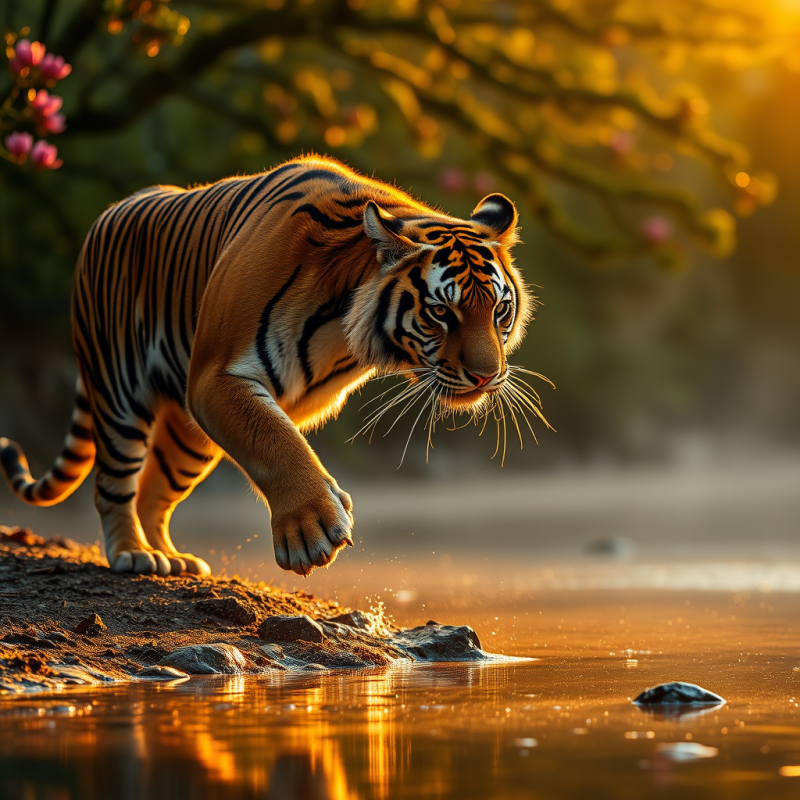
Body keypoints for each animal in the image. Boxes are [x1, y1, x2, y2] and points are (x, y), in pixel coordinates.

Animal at [0, 155, 536, 578]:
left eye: (499, 310)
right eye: (442, 312)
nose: (487, 376)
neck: (343, 331)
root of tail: (108, 213)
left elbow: (277, 435)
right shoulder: (215, 377)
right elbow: (275, 440)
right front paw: (312, 528)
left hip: (187, 439)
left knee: (154, 489)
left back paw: (173, 557)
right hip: (119, 395)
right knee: (113, 483)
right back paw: (134, 554)